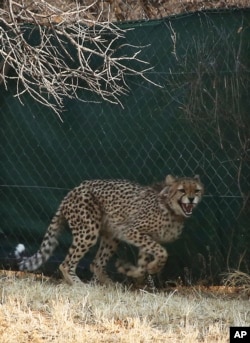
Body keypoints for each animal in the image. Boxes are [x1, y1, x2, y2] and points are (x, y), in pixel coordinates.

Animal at [15, 176, 203, 286]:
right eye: (182, 190)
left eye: (197, 190)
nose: (191, 198)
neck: (172, 211)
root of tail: (74, 190)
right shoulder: (131, 230)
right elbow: (162, 251)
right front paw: (152, 267)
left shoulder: (144, 237)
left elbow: (144, 263)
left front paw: (135, 271)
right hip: (89, 231)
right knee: (66, 264)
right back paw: (78, 284)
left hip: (112, 235)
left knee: (96, 263)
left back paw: (111, 285)